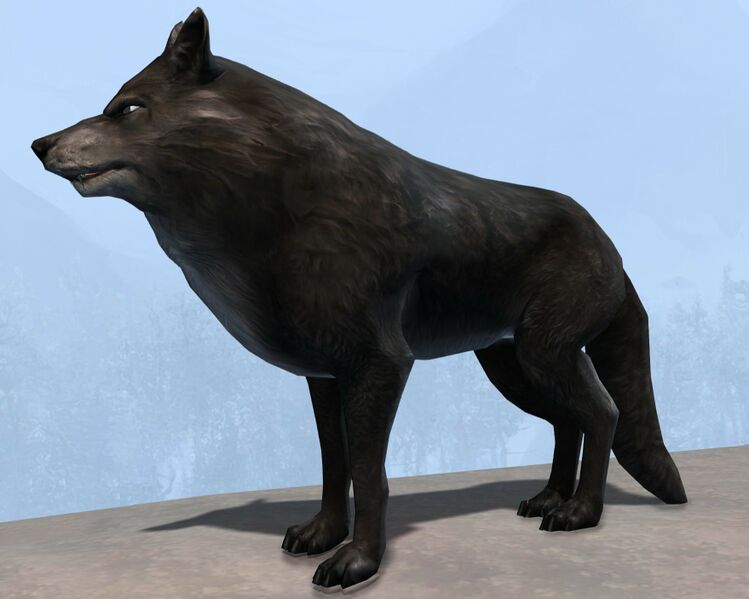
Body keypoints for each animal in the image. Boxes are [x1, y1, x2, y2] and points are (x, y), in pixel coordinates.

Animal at [31, 7, 687, 592]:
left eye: (128, 108)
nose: (38, 143)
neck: (275, 204)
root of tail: (607, 241)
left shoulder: (381, 366)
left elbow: (370, 476)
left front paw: (358, 562)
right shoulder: (325, 376)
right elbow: (333, 466)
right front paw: (322, 533)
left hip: (542, 356)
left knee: (604, 414)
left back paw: (580, 513)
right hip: (514, 368)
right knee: (569, 422)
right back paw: (550, 497)